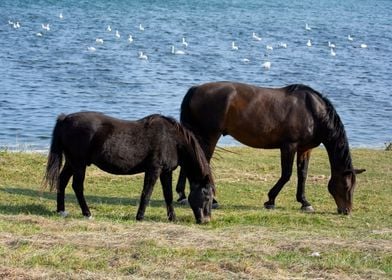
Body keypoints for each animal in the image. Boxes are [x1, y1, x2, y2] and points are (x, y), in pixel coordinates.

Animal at [44, 111, 216, 223]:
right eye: (207, 197)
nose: (206, 220)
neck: (172, 139)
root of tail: (65, 118)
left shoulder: (165, 172)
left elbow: (168, 195)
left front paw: (172, 218)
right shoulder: (154, 169)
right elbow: (147, 193)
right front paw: (140, 217)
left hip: (71, 162)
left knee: (62, 181)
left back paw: (61, 211)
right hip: (79, 163)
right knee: (77, 186)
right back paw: (87, 213)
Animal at [176, 81, 366, 214]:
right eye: (346, 186)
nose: (346, 211)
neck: (312, 112)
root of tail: (195, 89)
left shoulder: (305, 149)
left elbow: (302, 174)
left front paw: (304, 202)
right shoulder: (289, 146)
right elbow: (287, 174)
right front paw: (270, 200)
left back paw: (182, 195)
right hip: (209, 136)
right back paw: (212, 200)